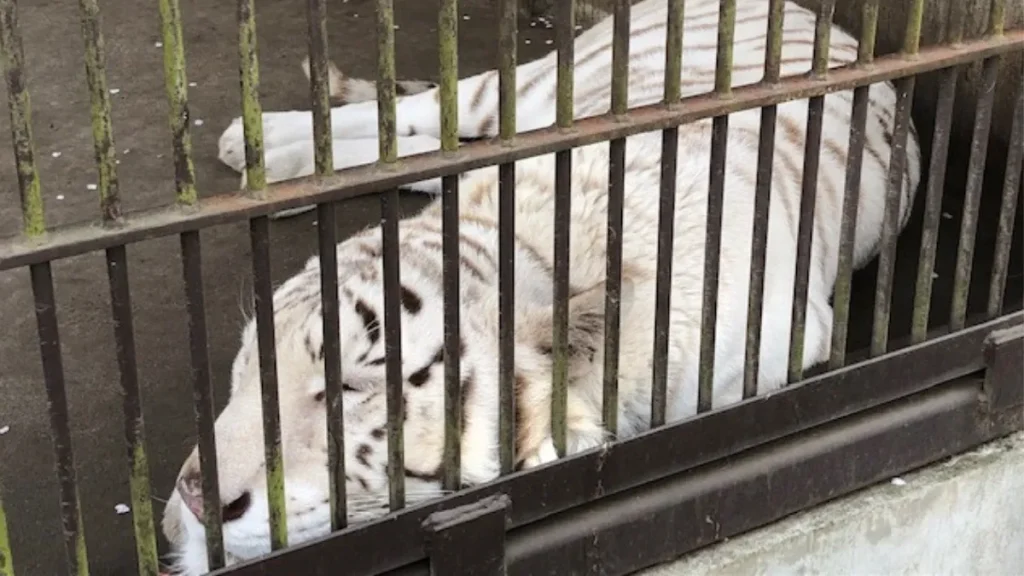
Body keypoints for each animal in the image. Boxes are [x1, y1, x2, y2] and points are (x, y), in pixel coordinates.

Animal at [165, 0, 921, 569]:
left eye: (348, 391)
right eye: (247, 365)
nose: (194, 503)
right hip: (530, 92)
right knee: (435, 116)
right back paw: (267, 152)